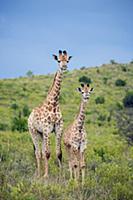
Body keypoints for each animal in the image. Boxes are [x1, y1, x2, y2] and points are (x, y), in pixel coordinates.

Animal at [28, 50, 71, 178]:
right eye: (58, 60)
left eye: (67, 60)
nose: (64, 67)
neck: (54, 104)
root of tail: (29, 116)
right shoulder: (47, 129)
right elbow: (48, 153)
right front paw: (46, 175)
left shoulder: (58, 128)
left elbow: (59, 153)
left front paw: (61, 174)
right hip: (33, 132)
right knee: (38, 152)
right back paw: (38, 174)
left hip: (41, 134)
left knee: (41, 152)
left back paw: (41, 172)